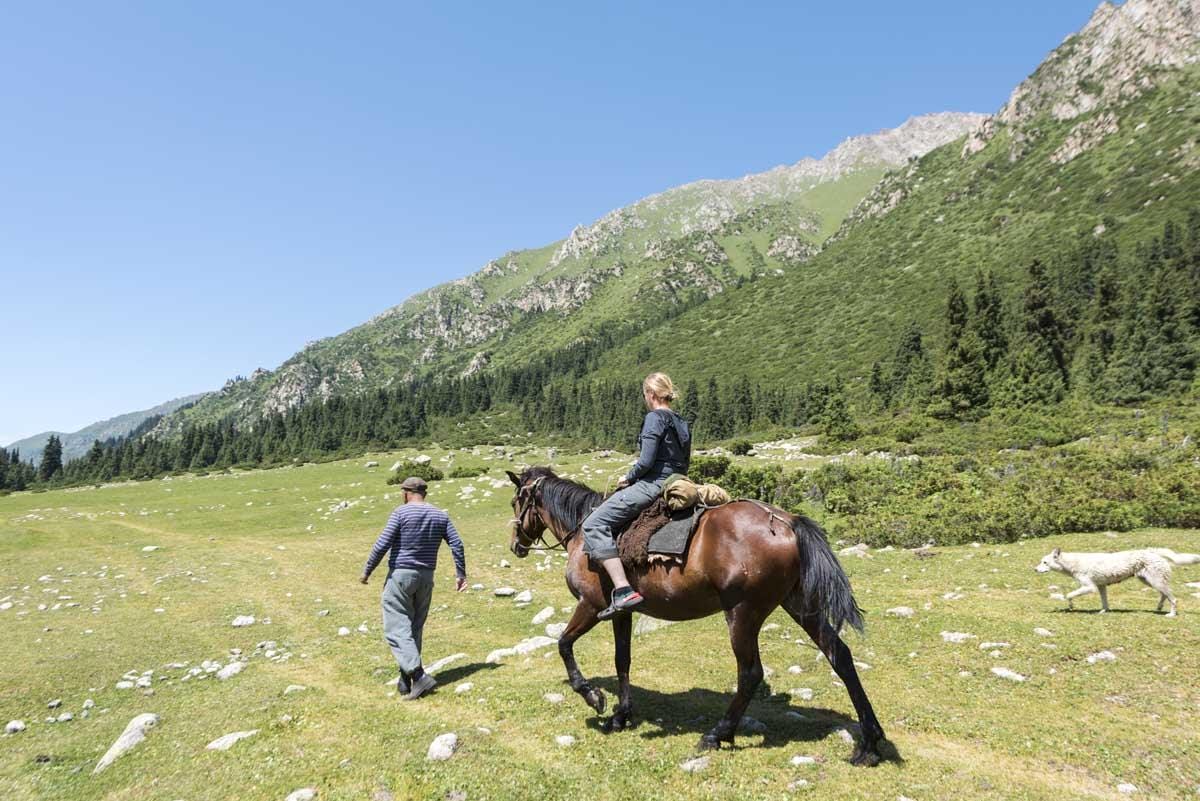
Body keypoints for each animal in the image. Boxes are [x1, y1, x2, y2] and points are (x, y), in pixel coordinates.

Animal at [501, 465, 888, 762]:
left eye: (516, 500)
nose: (516, 545)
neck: (584, 531)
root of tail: (787, 521)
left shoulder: (591, 605)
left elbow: (563, 644)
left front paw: (594, 698)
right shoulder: (620, 611)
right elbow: (622, 659)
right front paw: (621, 715)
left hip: (743, 613)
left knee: (750, 673)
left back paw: (717, 734)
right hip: (799, 605)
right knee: (840, 656)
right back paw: (869, 743)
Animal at [1036, 546, 1195, 618]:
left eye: (1044, 562)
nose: (1034, 569)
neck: (1072, 563)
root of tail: (1152, 551)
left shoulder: (1090, 587)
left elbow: (1068, 595)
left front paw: (1070, 606)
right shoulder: (1101, 586)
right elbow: (1105, 602)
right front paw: (1103, 611)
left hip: (1155, 582)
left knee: (1173, 598)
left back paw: (1171, 614)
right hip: (1150, 582)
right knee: (1164, 595)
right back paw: (1159, 607)